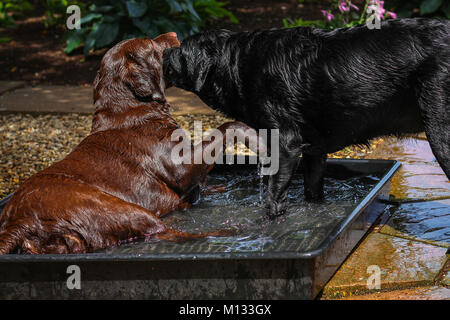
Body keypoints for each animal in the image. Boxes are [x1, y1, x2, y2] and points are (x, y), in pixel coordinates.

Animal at [0, 33, 262, 254]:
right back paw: (232, 233)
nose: (174, 34)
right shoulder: (182, 168)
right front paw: (256, 139)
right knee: (168, 232)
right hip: (117, 208)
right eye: (152, 43)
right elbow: (227, 127)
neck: (130, 108)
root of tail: (19, 223)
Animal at [164, 18, 450, 218]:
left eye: (180, 51)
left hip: (440, 131)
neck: (237, 65)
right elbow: (312, 191)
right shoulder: (314, 150)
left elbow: (274, 195)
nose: (165, 51)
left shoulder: (285, 144)